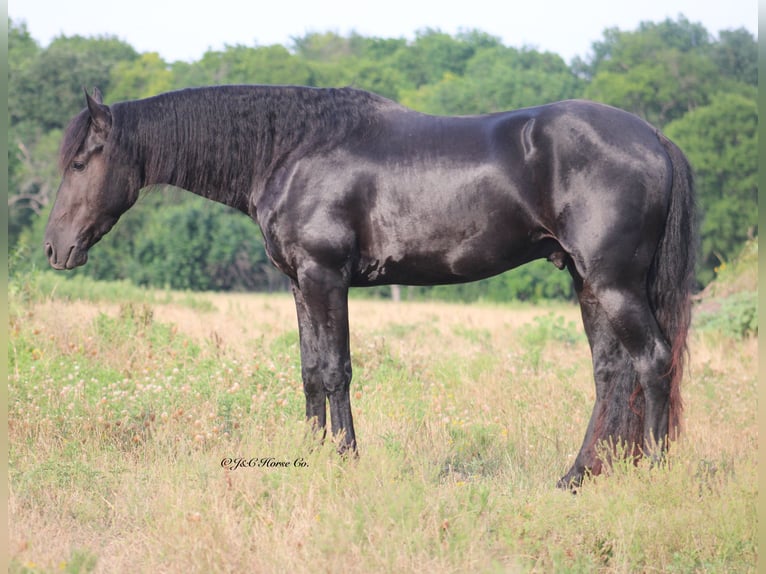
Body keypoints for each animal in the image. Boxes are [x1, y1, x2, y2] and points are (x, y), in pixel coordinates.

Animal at [44, 85, 696, 487]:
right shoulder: (301, 284)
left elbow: (337, 371)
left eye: (80, 162)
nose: (54, 248)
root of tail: (653, 137)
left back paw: (655, 472)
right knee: (611, 374)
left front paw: (344, 459)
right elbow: (311, 371)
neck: (293, 150)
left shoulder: (325, 276)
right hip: (587, 282)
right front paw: (310, 457)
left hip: (613, 283)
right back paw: (578, 477)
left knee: (653, 361)